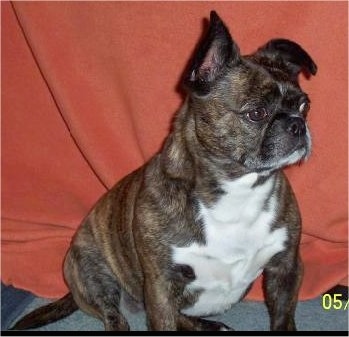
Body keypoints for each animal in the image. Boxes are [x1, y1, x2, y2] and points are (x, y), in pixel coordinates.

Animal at [10, 11, 316, 330]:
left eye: (304, 106)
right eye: (256, 113)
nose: (297, 124)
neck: (236, 192)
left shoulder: (286, 268)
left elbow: (283, 316)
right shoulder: (161, 286)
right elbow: (165, 317)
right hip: (93, 273)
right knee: (114, 315)